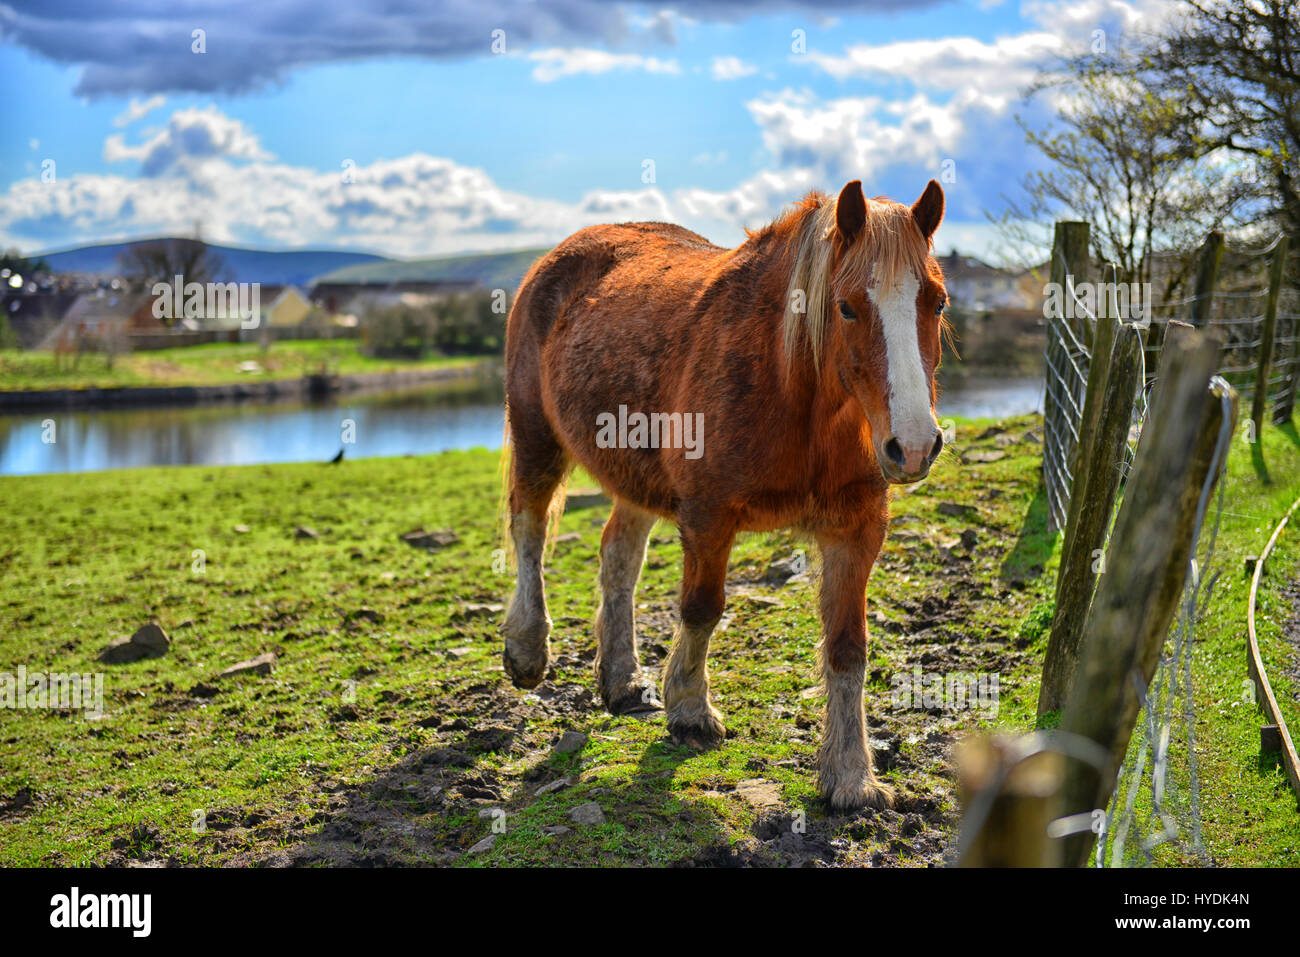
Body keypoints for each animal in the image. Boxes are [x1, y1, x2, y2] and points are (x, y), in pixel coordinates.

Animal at [499, 178, 946, 806]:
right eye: (847, 306)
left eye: (938, 302)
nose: (914, 444)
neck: (790, 390)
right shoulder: (708, 516)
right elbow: (702, 608)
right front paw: (689, 708)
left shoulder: (856, 528)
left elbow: (847, 646)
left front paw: (851, 774)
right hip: (537, 436)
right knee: (530, 530)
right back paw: (527, 648)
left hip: (633, 476)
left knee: (618, 557)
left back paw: (622, 679)